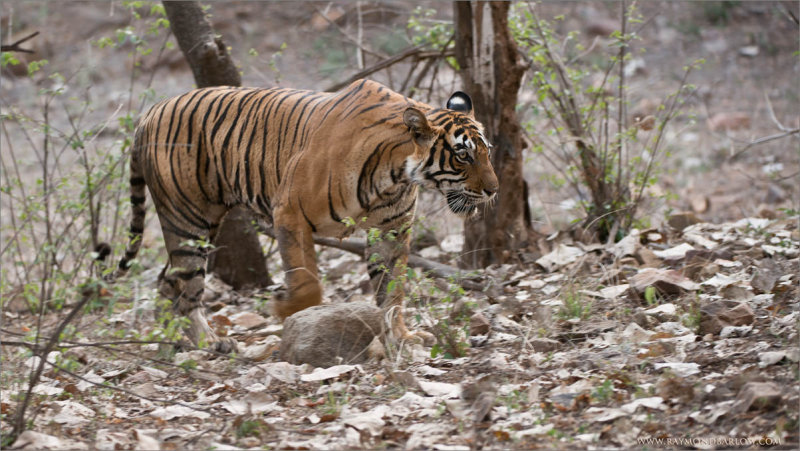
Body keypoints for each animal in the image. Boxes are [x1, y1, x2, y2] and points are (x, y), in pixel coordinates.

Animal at [111, 80, 500, 354]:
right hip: (188, 219)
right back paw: (208, 342)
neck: (396, 174)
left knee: (168, 280)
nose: (494, 189)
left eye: (487, 152)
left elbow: (393, 291)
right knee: (186, 287)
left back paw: (176, 342)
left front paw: (402, 337)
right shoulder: (290, 212)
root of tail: (150, 112)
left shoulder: (392, 232)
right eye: (463, 156)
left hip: (200, 225)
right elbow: (308, 281)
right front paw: (285, 310)